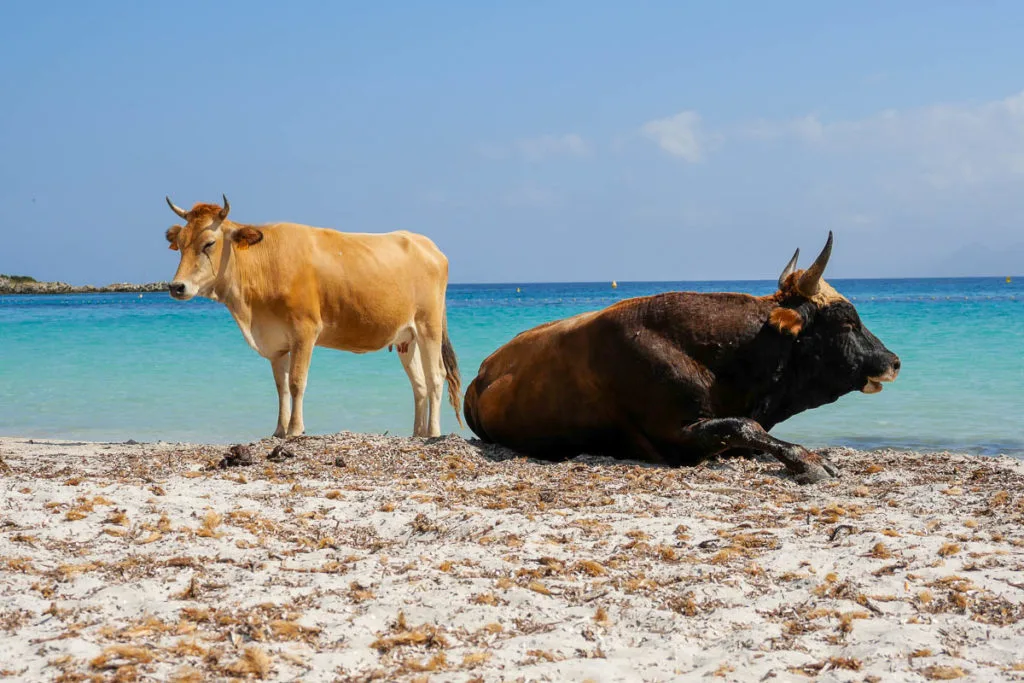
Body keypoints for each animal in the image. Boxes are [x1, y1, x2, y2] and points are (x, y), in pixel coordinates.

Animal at [163, 195, 461, 439]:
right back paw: (417, 433)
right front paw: (279, 430)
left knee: (436, 377)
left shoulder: (305, 331)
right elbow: (281, 387)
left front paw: (295, 429)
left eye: (209, 243)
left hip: (428, 325)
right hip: (405, 338)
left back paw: (433, 433)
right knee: (419, 384)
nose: (177, 286)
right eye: (180, 243)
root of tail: (427, 244)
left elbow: (296, 382)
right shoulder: (276, 342)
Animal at [463, 233, 900, 484]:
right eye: (846, 321)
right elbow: (744, 427)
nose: (894, 360)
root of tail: (479, 376)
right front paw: (810, 461)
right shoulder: (675, 438)